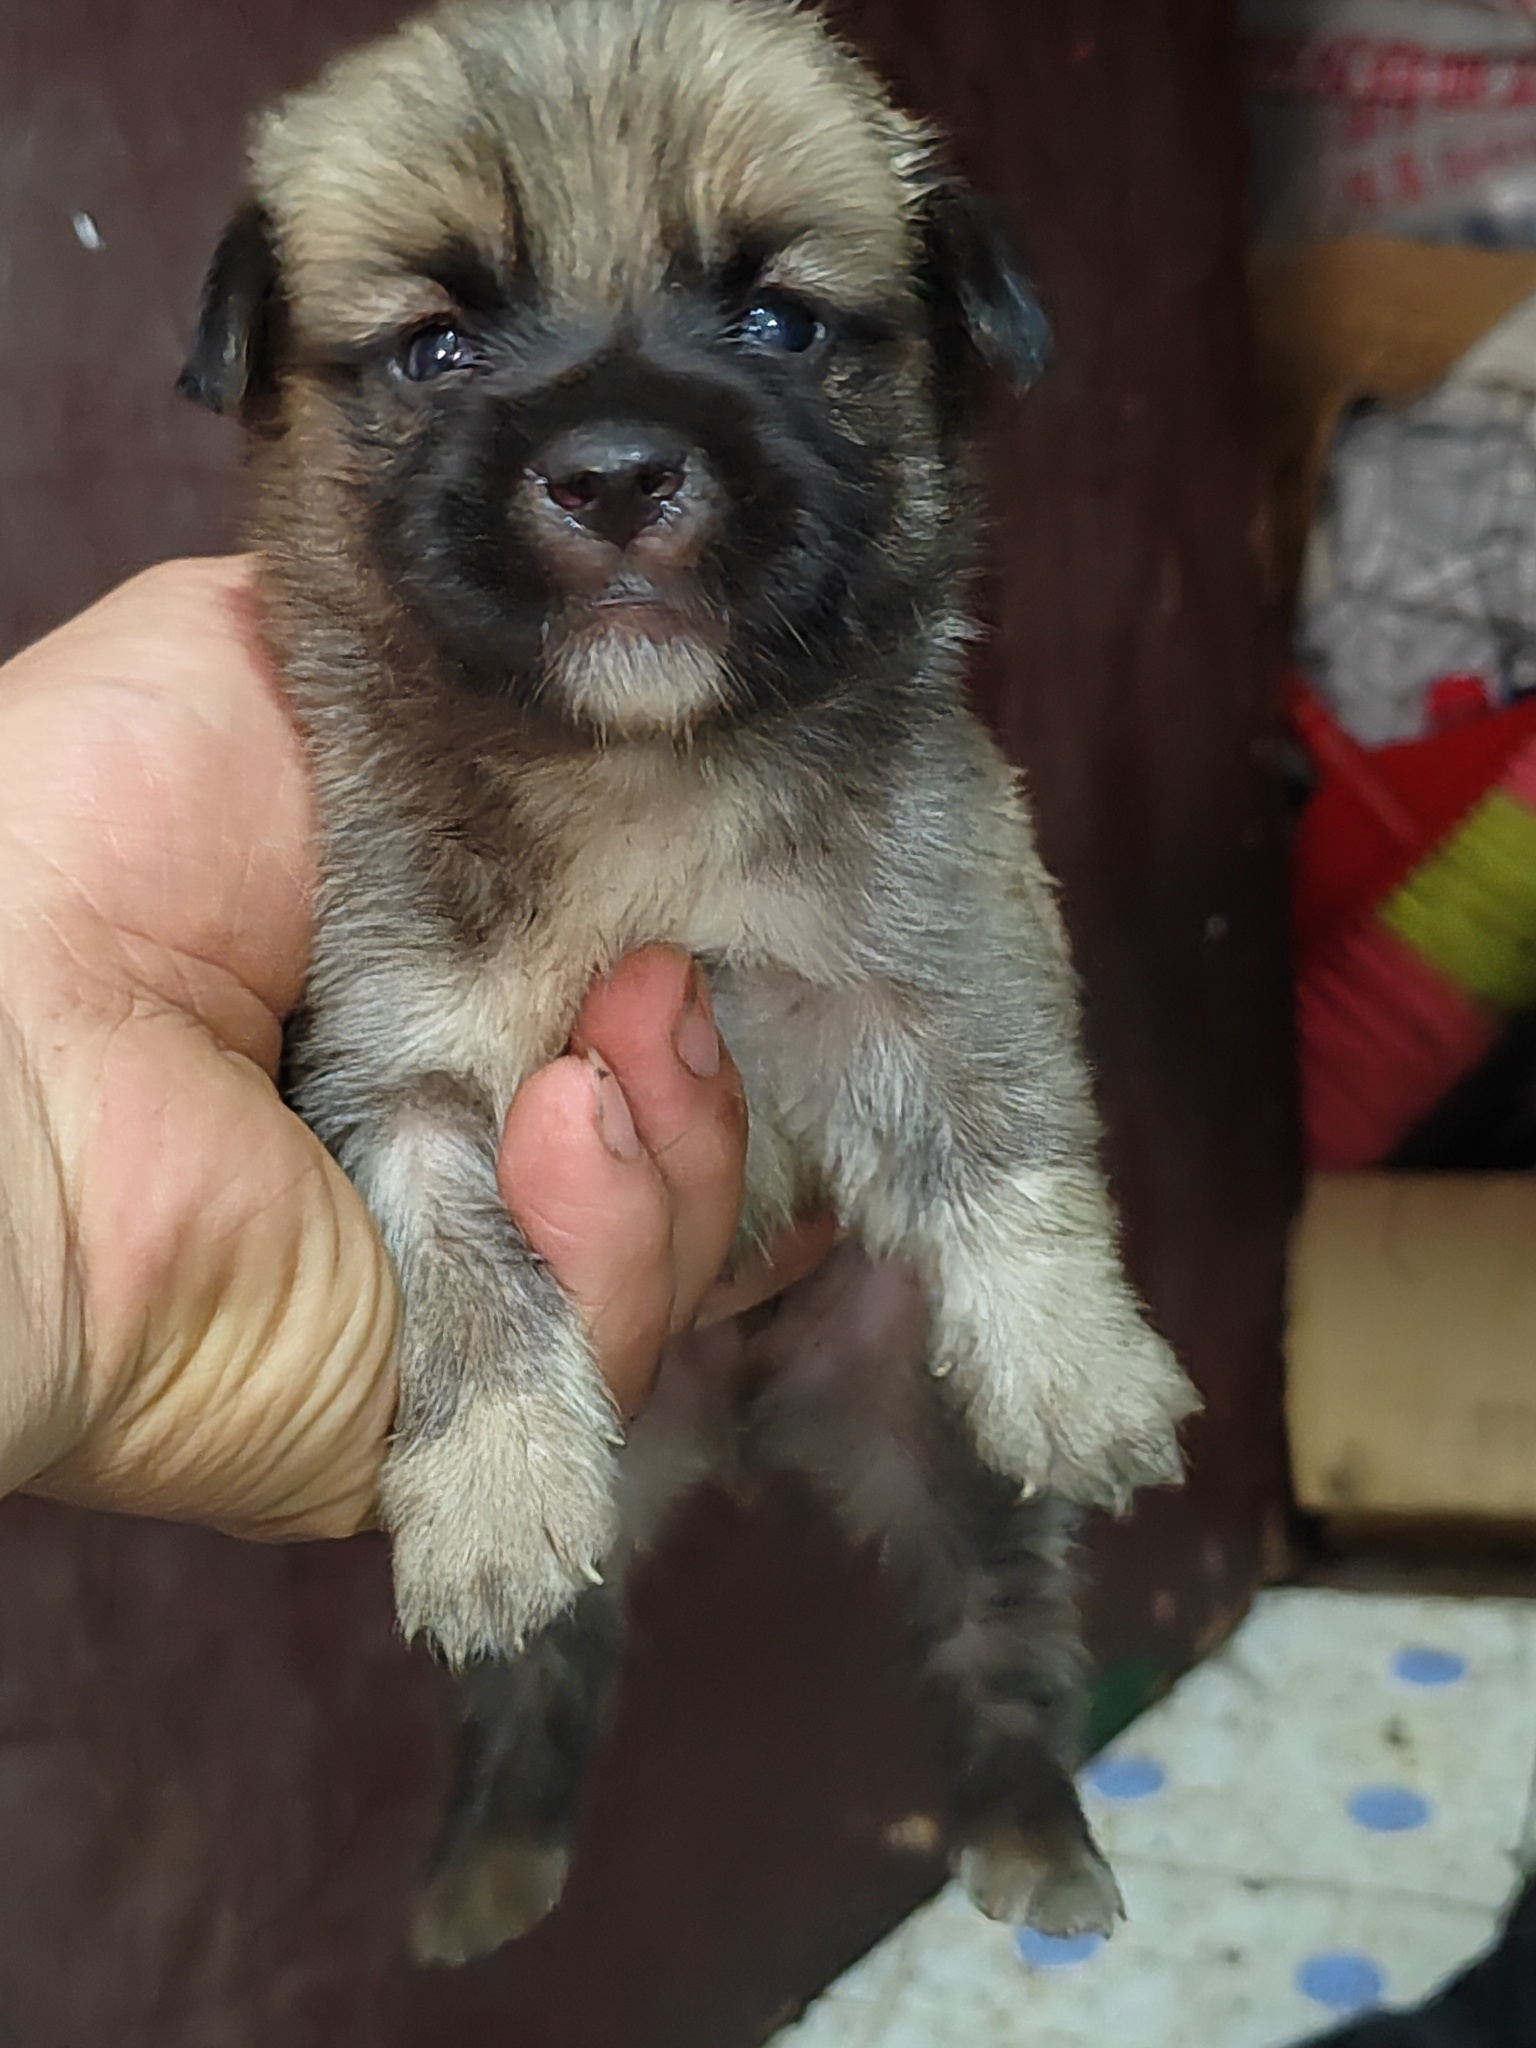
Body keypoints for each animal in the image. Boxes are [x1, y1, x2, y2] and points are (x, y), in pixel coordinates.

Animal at [180, 0, 1198, 1964]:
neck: (635, 776)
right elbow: (466, 1296)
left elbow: (1011, 1161)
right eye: (435, 345)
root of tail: (736, 1422)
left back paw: (1031, 1831)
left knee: (997, 1635)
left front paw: (1083, 1371)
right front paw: (492, 1492)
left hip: (938, 1450)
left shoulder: (945, 948)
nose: (615, 474)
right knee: (546, 1669)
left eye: (777, 323)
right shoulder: (398, 1080)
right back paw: (491, 1858)